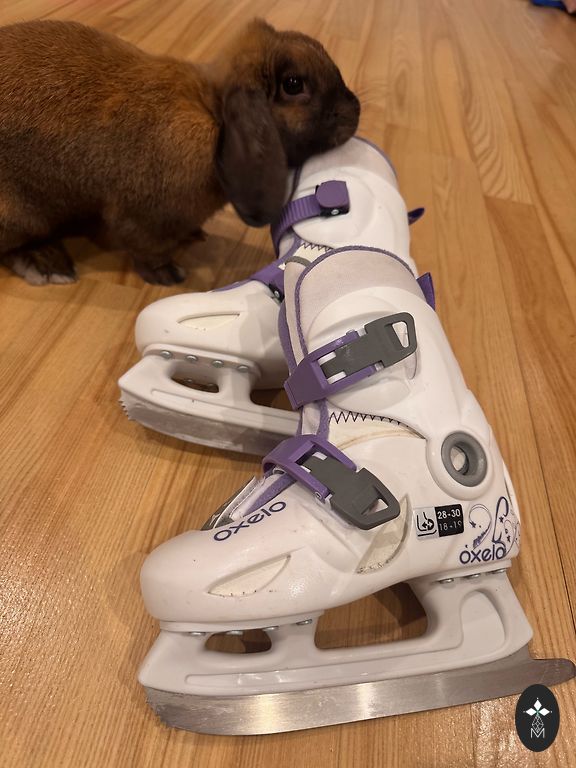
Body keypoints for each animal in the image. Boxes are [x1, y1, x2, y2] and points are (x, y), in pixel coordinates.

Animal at [0, 18, 360, 285]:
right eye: (294, 84)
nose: (355, 110)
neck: (214, 114)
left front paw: (194, 235)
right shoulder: (142, 219)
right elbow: (147, 250)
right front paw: (168, 275)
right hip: (22, 217)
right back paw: (48, 264)